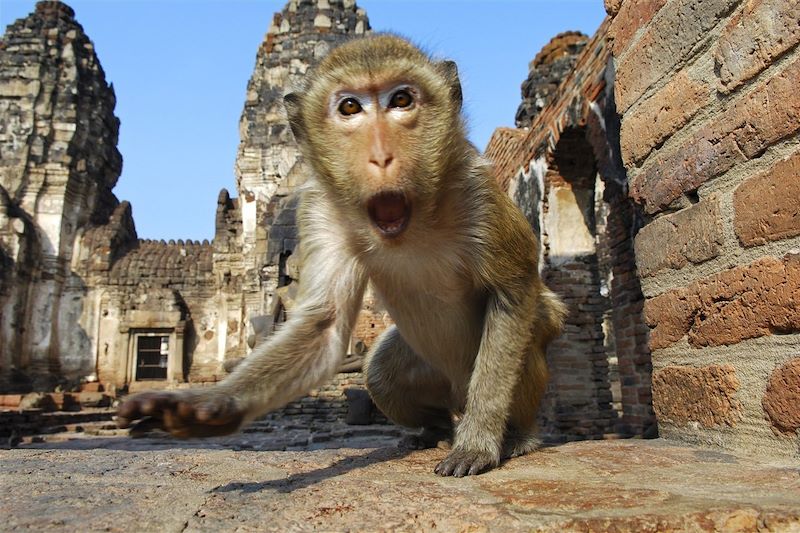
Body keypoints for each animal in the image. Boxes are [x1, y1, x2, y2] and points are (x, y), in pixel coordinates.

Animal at [117, 34, 568, 478]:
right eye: (349, 107)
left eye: (401, 100)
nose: (382, 156)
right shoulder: (322, 210)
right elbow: (323, 325)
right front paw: (208, 406)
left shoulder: (478, 192)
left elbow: (513, 292)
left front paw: (479, 442)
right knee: (380, 374)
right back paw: (432, 430)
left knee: (532, 327)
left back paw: (515, 434)